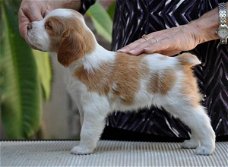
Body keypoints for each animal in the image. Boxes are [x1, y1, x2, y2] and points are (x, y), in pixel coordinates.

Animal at [27, 8, 216, 155]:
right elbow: (84, 127)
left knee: (203, 121)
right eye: (43, 17)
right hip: (181, 105)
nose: (28, 26)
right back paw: (193, 143)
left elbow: (87, 130)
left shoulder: (94, 107)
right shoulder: (82, 105)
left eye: (49, 26)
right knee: (195, 122)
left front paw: (83, 149)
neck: (83, 60)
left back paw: (205, 148)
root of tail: (179, 61)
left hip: (179, 102)